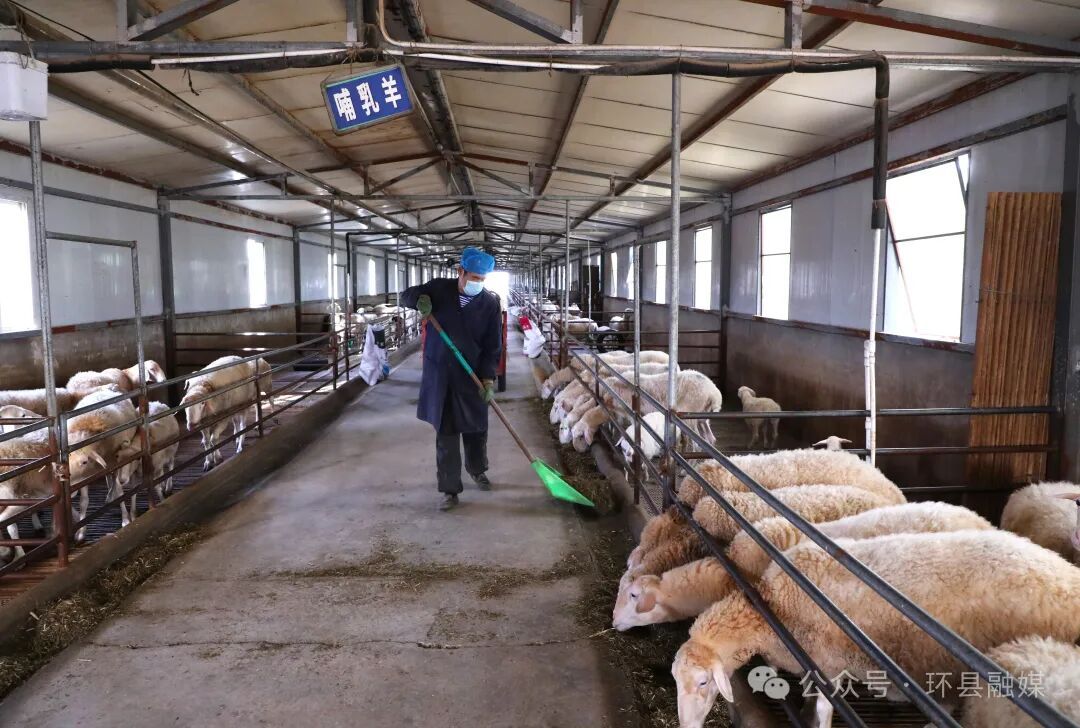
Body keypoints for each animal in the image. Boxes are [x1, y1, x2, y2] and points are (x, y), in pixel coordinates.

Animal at [673, 530, 1080, 728]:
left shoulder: (830, 664)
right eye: (675, 680)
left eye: (704, 682)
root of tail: (1066, 578)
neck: (775, 608)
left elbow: (825, 711)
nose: (686, 727)